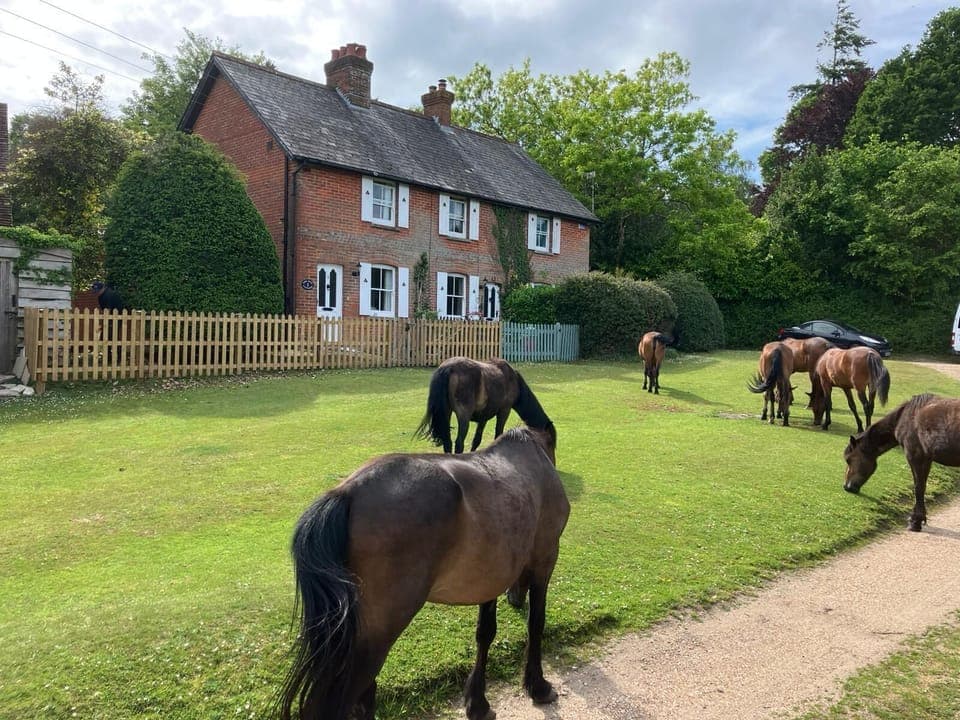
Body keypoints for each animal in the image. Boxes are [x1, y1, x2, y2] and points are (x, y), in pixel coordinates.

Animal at [277, 424, 569, 720]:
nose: (515, 597)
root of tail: (347, 493)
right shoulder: (545, 559)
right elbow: (536, 622)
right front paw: (538, 685)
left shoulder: (490, 575)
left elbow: (486, 632)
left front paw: (478, 702)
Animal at [416, 357, 551, 454]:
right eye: (551, 442)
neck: (513, 379)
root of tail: (449, 368)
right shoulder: (504, 411)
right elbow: (498, 434)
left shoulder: (483, 417)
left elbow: (477, 440)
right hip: (464, 417)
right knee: (459, 443)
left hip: (446, 413)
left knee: (448, 442)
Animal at [843, 394, 960, 531]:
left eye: (848, 459)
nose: (846, 487)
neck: (906, 417)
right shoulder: (926, 459)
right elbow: (922, 486)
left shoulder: (915, 457)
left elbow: (918, 487)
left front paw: (915, 521)